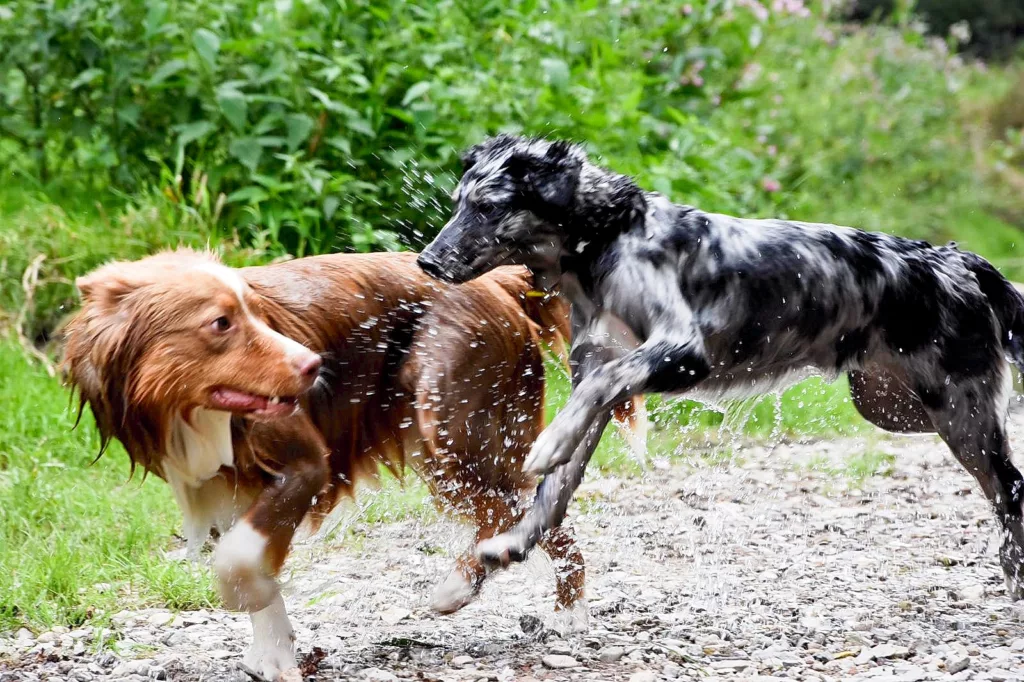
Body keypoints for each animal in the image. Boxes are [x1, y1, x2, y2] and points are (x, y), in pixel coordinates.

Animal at [61, 249, 638, 679]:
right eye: (221, 323)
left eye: (255, 313)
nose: (314, 366)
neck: (191, 412)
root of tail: (497, 281)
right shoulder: (229, 484)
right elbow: (248, 556)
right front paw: (274, 653)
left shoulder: (306, 463)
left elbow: (238, 560)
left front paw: (253, 600)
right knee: (530, 514)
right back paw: (541, 604)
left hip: (457, 430)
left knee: (519, 514)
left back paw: (494, 597)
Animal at [415, 133, 1024, 593]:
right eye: (458, 202)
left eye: (489, 207)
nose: (427, 262)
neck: (608, 241)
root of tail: (960, 261)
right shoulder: (601, 379)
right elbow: (553, 495)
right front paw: (502, 551)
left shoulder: (682, 352)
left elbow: (591, 400)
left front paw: (548, 443)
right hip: (893, 407)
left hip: (960, 414)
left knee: (1011, 488)